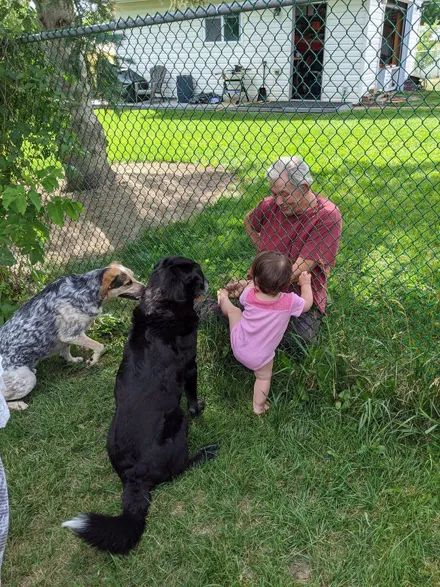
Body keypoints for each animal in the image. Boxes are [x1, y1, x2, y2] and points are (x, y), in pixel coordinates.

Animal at [0, 264, 144, 412]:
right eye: (128, 283)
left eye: (133, 276)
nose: (146, 288)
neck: (84, 288)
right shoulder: (71, 334)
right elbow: (100, 346)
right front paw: (92, 360)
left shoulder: (67, 338)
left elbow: (66, 351)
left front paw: (73, 360)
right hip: (28, 379)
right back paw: (18, 404)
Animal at [62, 258, 218, 556]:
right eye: (199, 274)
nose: (208, 282)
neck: (160, 303)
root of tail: (132, 477)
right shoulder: (190, 366)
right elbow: (192, 396)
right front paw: (199, 407)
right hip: (178, 421)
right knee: (178, 471)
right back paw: (206, 453)